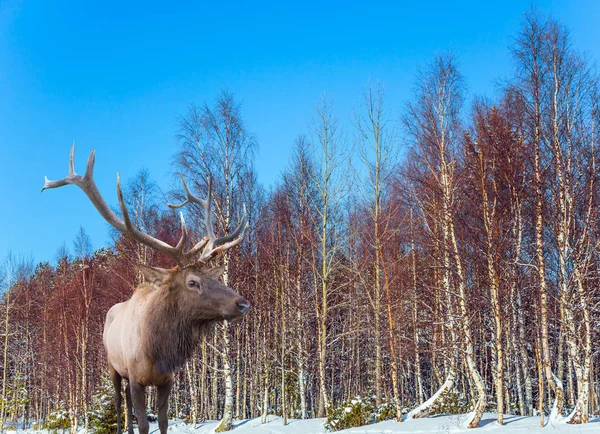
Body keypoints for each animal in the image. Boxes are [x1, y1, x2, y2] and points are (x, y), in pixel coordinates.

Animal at [42, 146, 248, 434]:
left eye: (211, 276)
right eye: (192, 282)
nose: (242, 303)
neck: (157, 351)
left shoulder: (166, 379)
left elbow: (162, 421)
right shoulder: (136, 378)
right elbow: (142, 423)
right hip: (113, 367)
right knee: (120, 405)